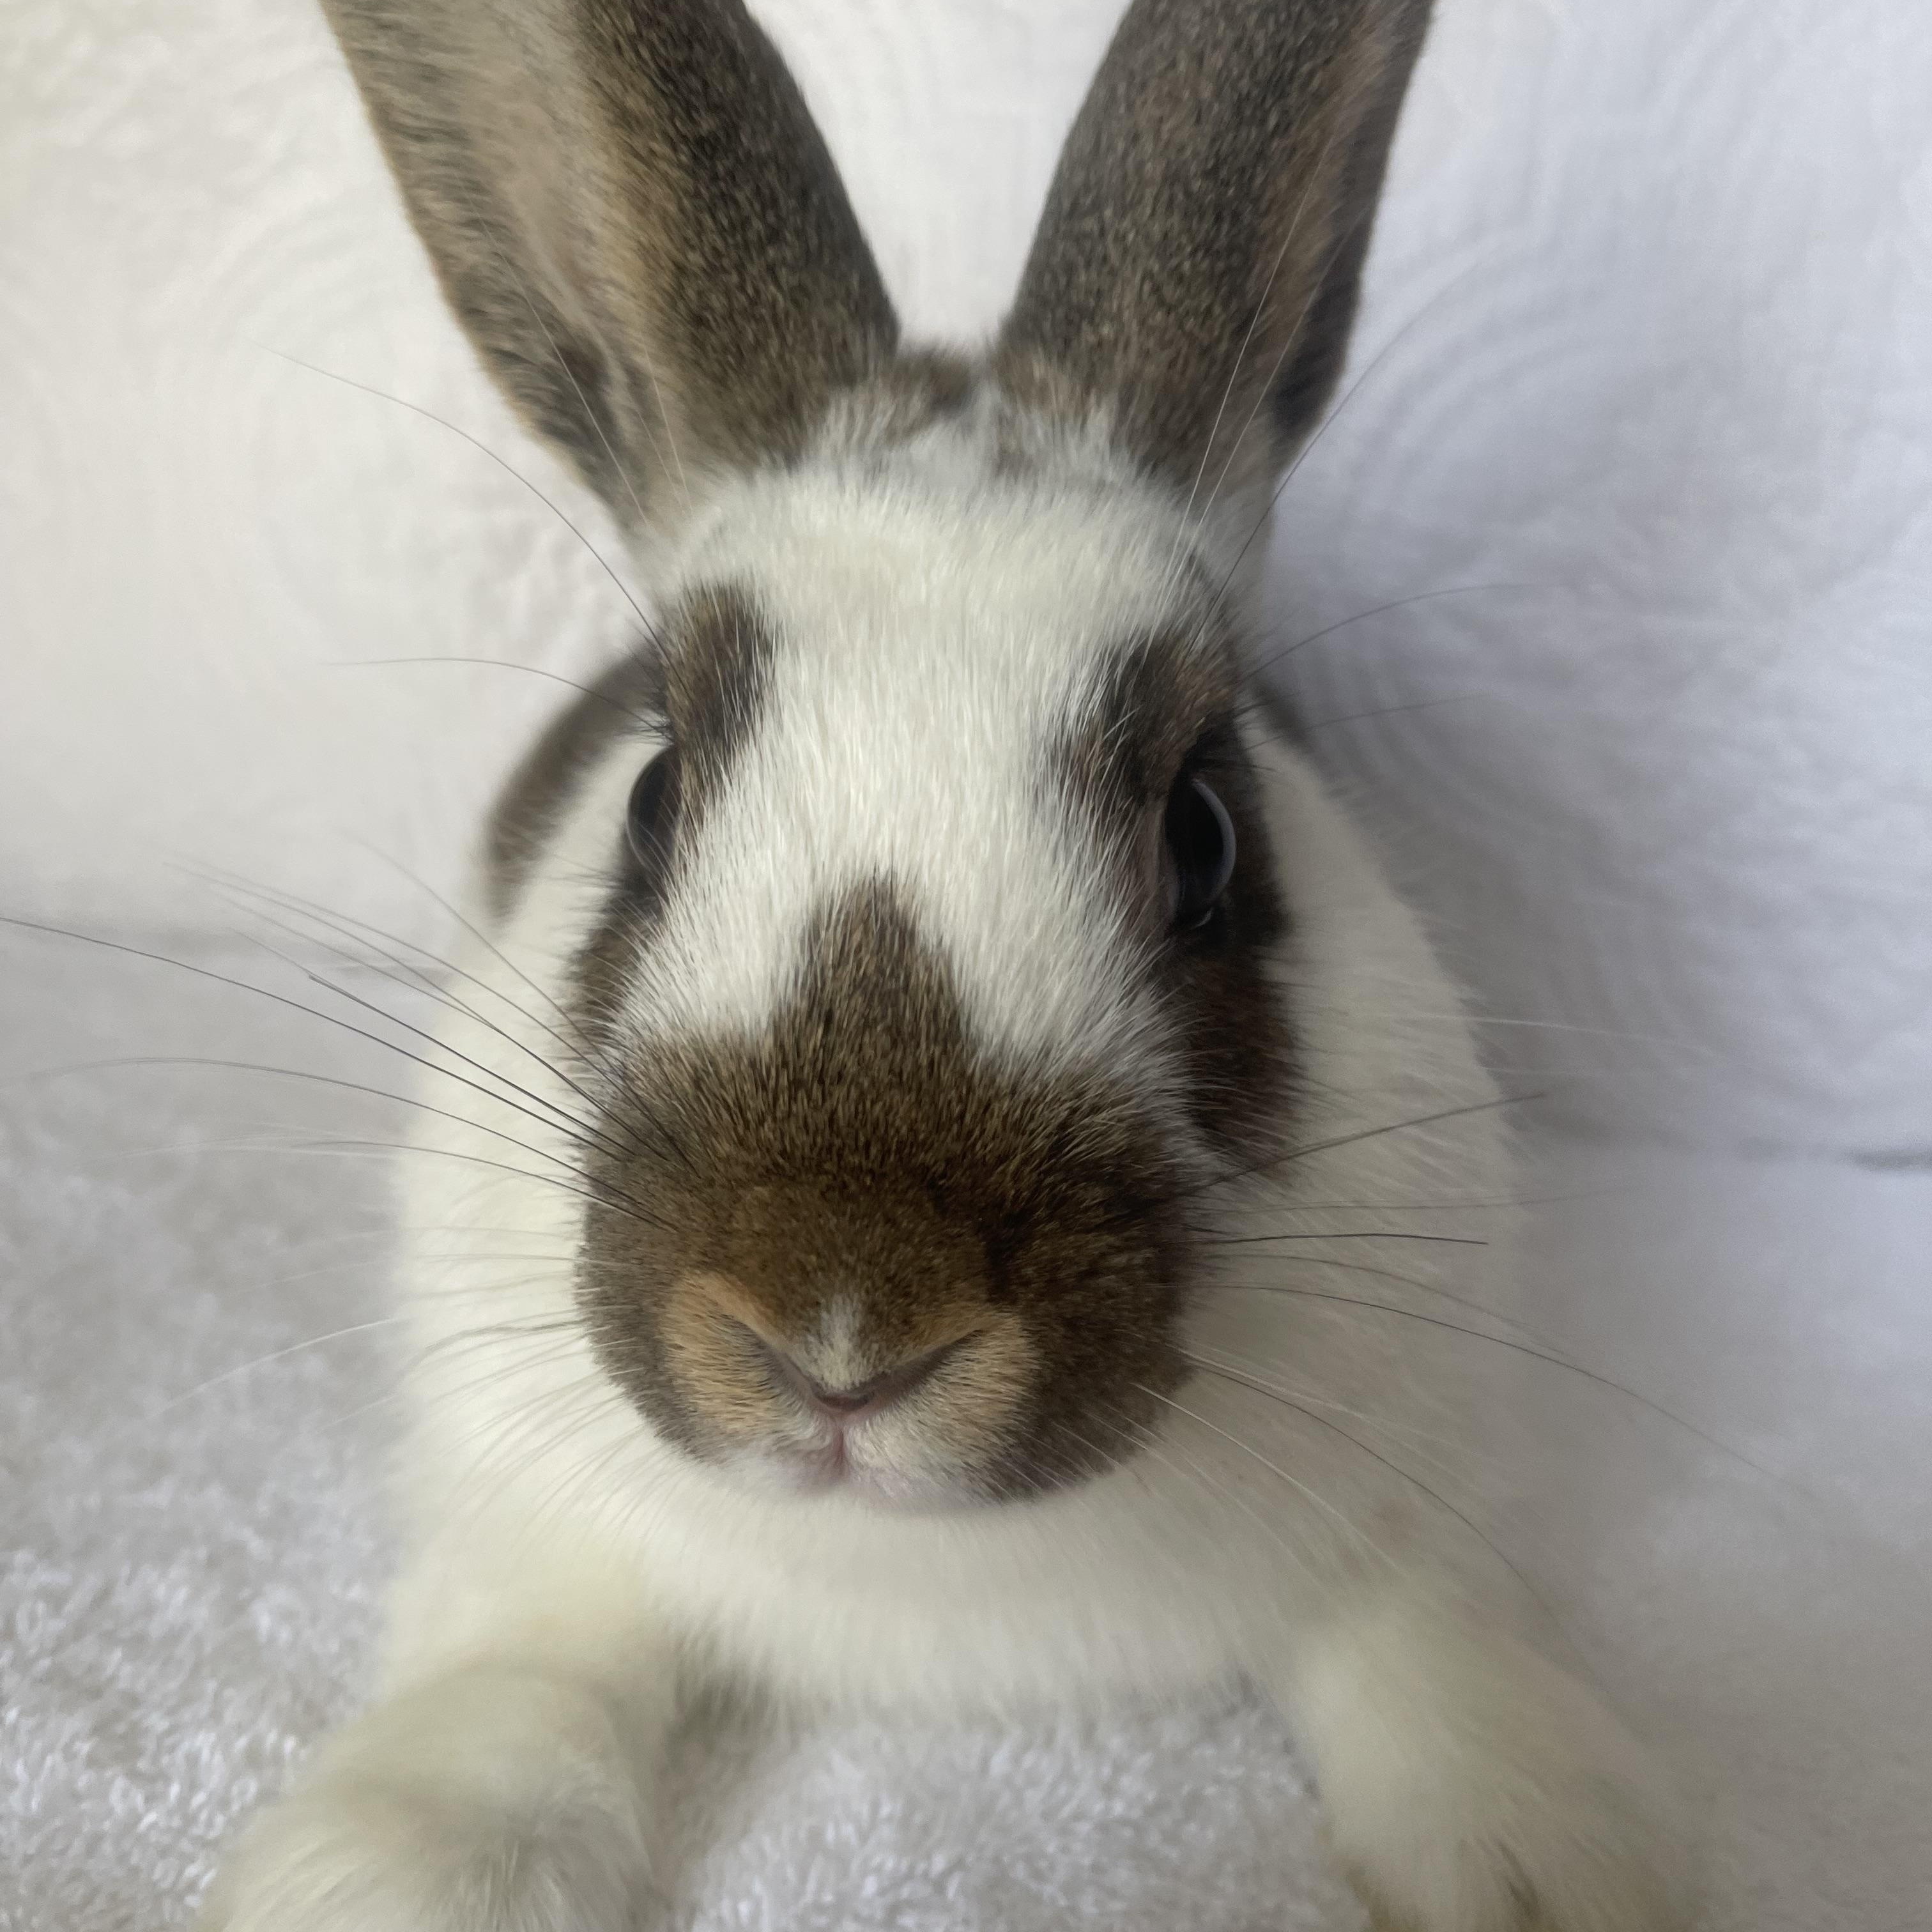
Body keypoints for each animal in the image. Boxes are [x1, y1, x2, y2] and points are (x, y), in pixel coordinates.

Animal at [196, 1, 1698, 1928]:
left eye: (1205, 839)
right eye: (655, 800)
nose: (842, 1331)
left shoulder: (1418, 1495)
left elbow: (1429, 1646)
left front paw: (1550, 1856)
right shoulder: (524, 1522)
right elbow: (521, 1669)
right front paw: (401, 1866)